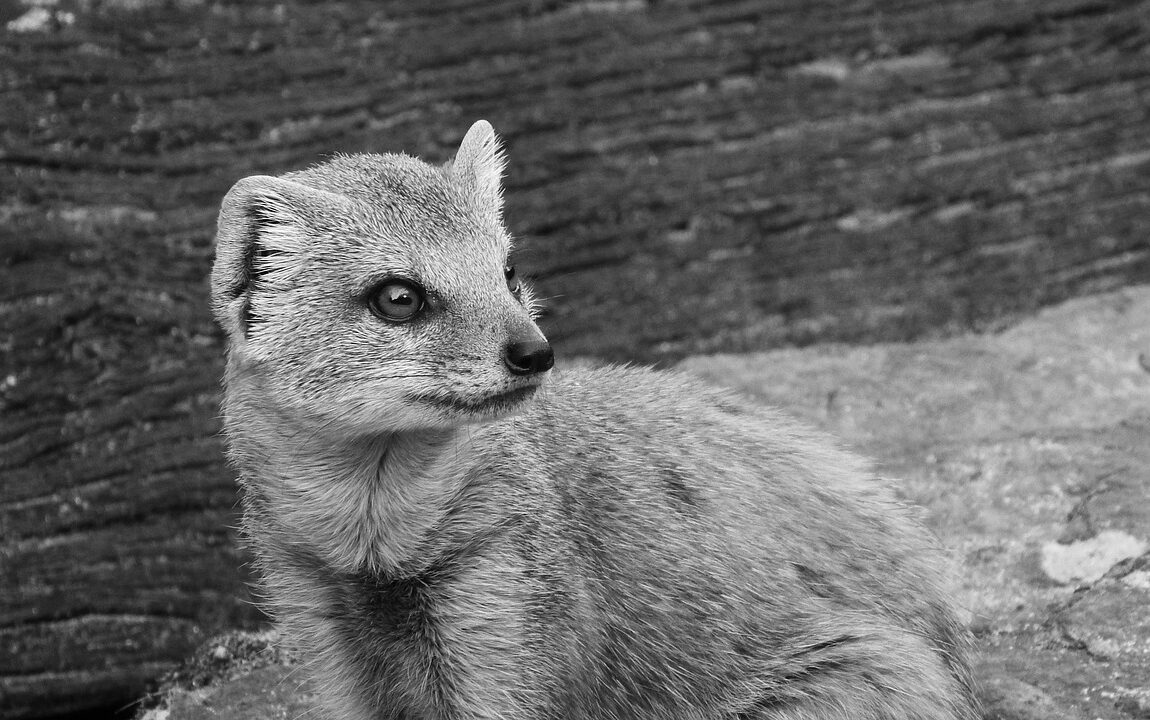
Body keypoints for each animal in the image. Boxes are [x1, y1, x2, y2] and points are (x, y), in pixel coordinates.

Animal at [210, 119, 980, 720]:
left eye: (508, 272)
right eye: (397, 296)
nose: (533, 351)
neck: (375, 557)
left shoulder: (508, 616)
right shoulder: (323, 630)